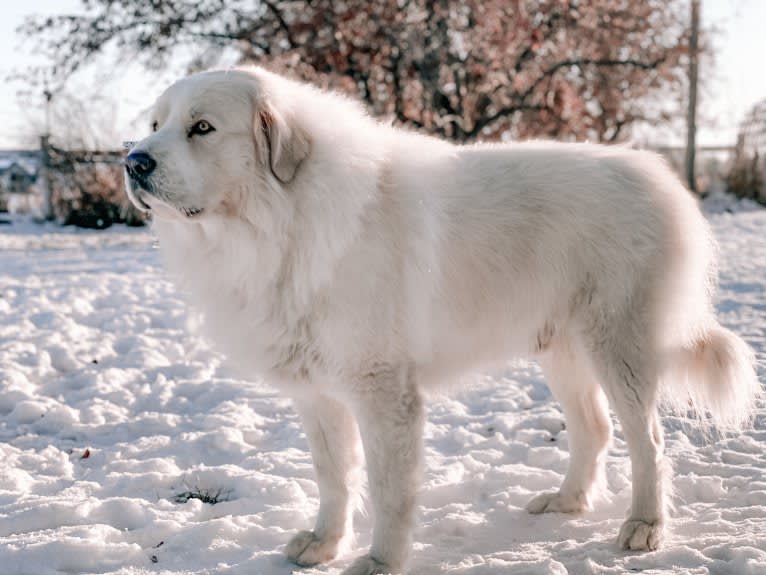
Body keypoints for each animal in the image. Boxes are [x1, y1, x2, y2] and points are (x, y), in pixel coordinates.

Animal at [123, 68, 760, 575]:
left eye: (202, 128)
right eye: (156, 122)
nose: (133, 160)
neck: (280, 221)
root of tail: (658, 175)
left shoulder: (384, 390)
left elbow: (387, 488)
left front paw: (381, 562)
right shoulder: (317, 394)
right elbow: (335, 477)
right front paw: (324, 544)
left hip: (618, 347)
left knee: (647, 441)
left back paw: (645, 527)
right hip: (561, 350)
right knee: (594, 431)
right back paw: (566, 502)